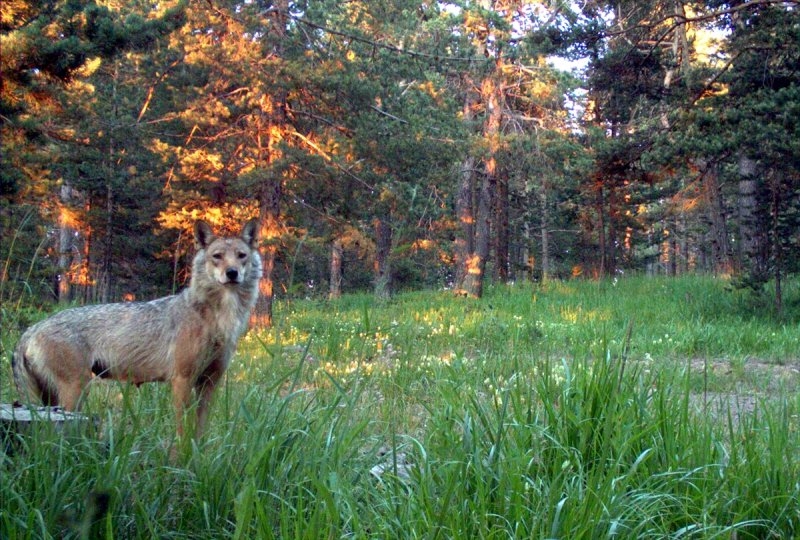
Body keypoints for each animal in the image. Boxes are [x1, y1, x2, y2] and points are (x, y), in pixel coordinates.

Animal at [12, 219, 262, 438]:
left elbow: (199, 433)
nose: (232, 273)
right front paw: (180, 459)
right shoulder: (182, 380)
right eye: (217, 256)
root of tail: (31, 329)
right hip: (75, 392)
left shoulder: (209, 383)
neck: (219, 320)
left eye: (241, 256)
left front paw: (196, 458)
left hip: (55, 399)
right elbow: (182, 432)